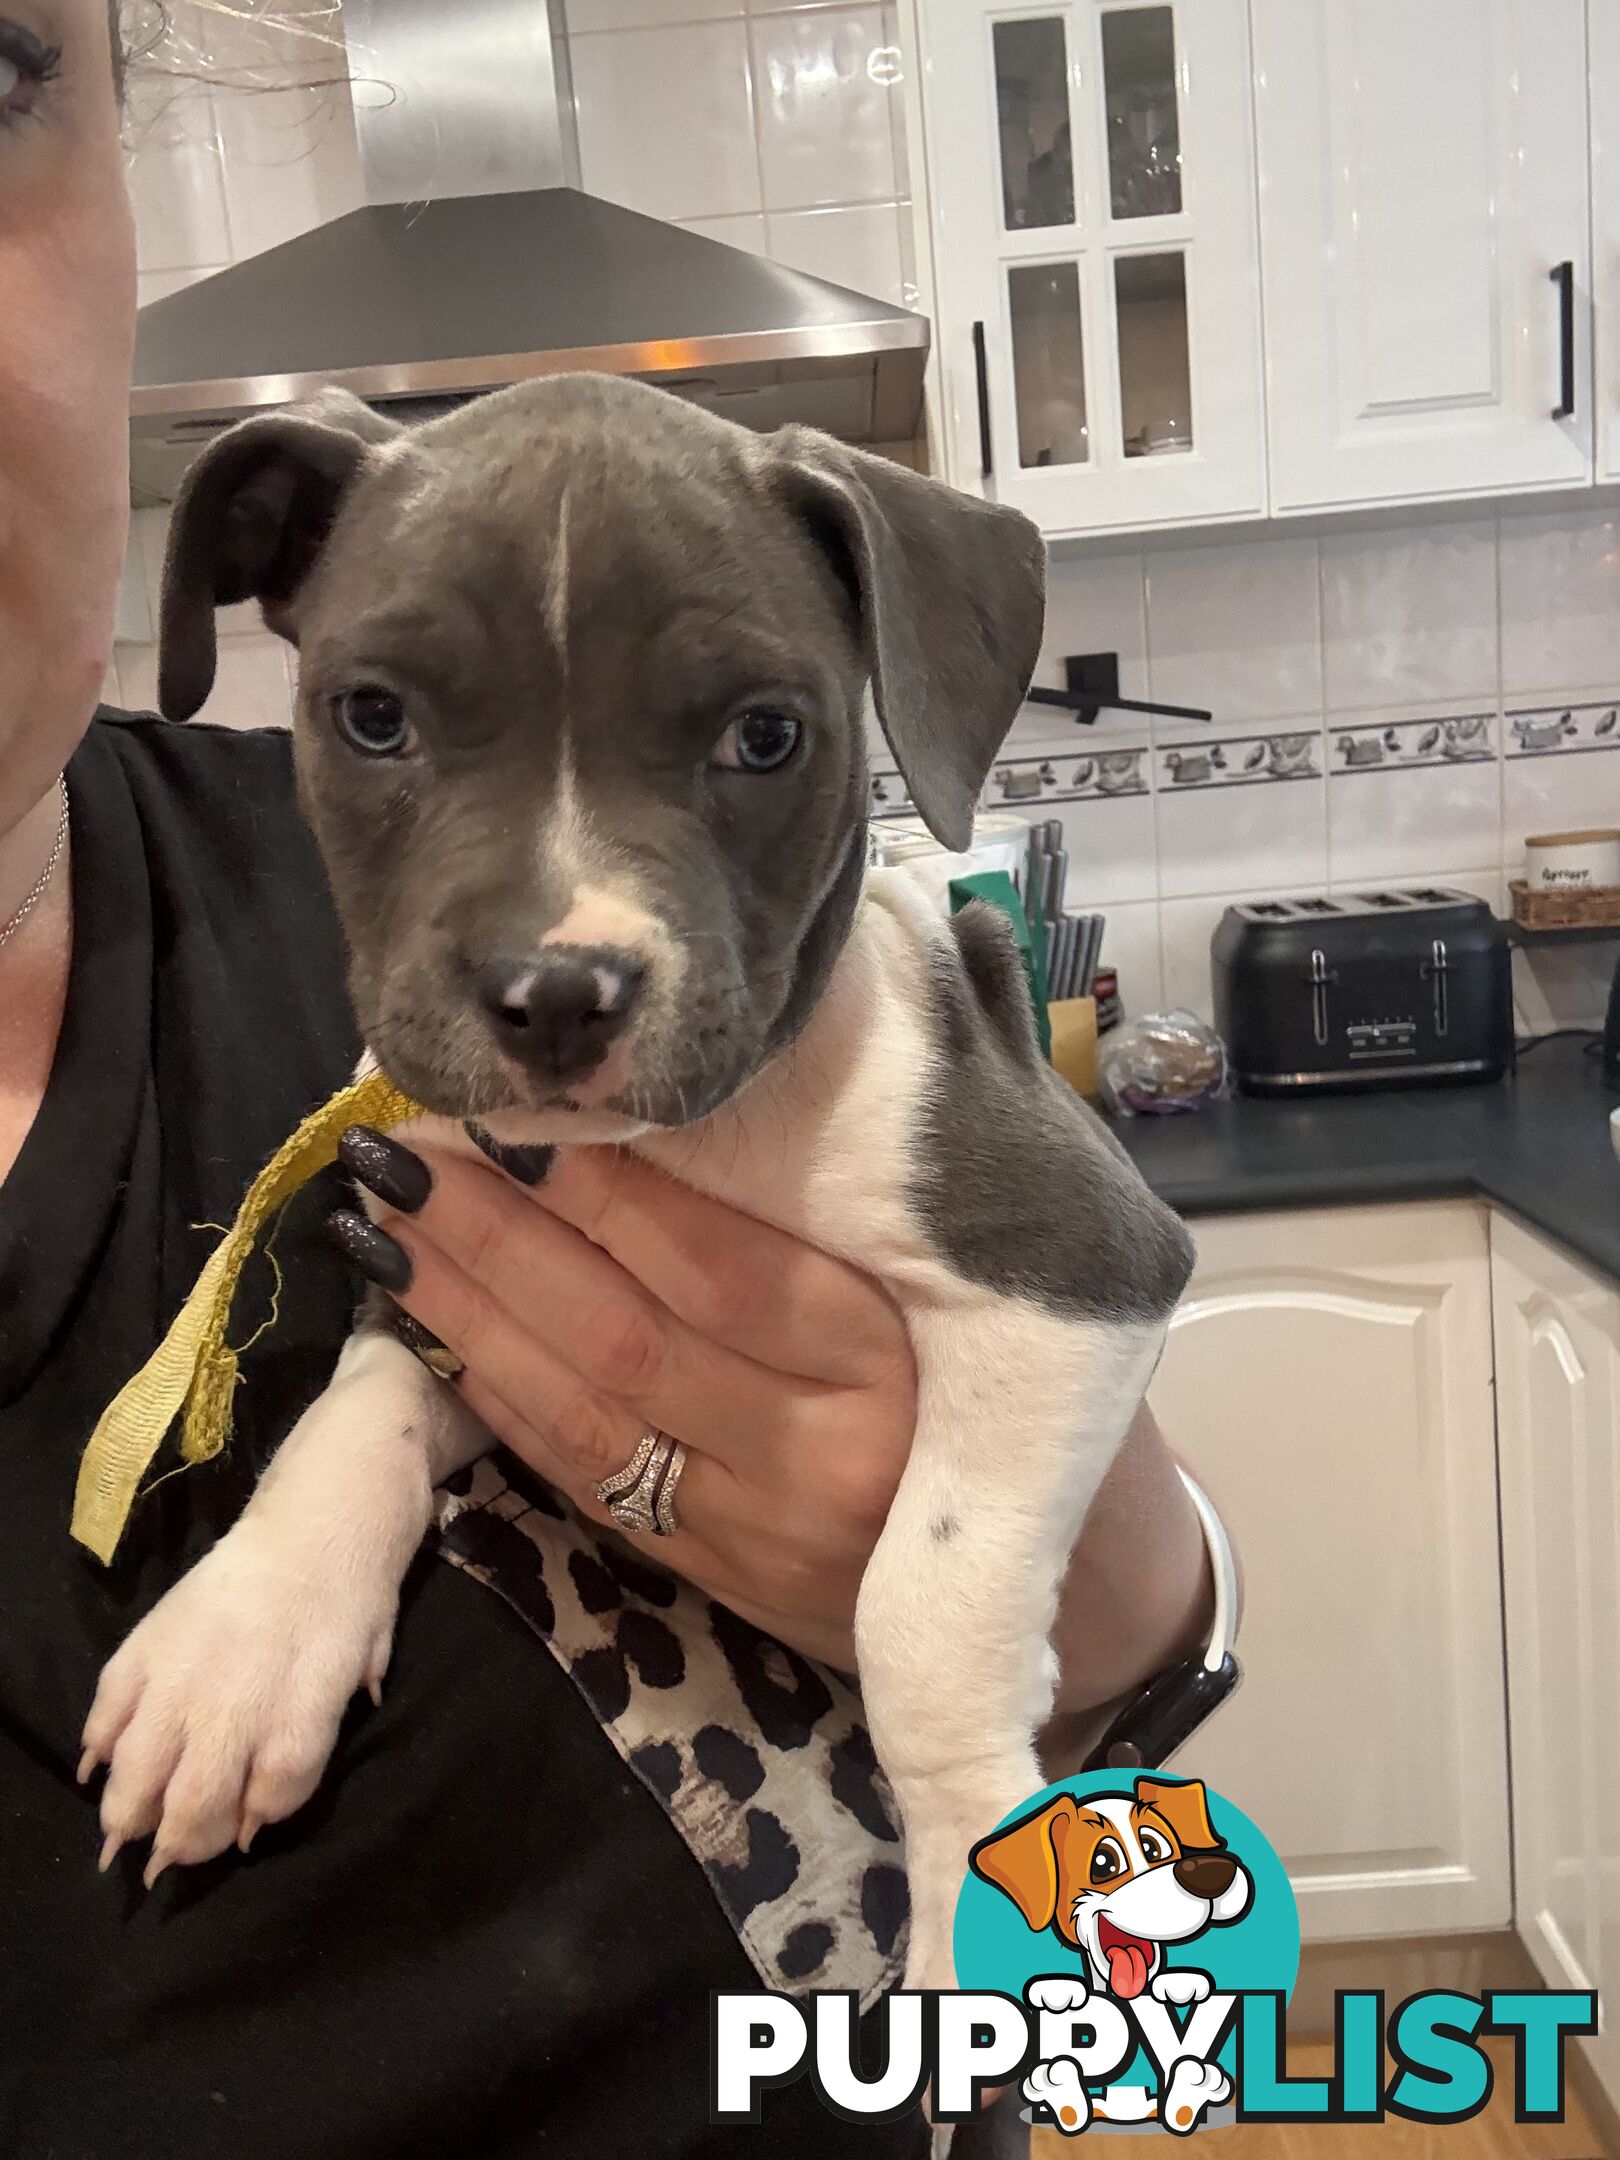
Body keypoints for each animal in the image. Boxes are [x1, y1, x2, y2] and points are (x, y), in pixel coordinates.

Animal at [82, 375, 1192, 2004]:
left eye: (764, 736)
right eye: (372, 717)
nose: (556, 992)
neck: (676, 1145)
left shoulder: (1078, 1260)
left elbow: (921, 1595)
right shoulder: (443, 1239)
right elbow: (362, 1409)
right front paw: (247, 1637)